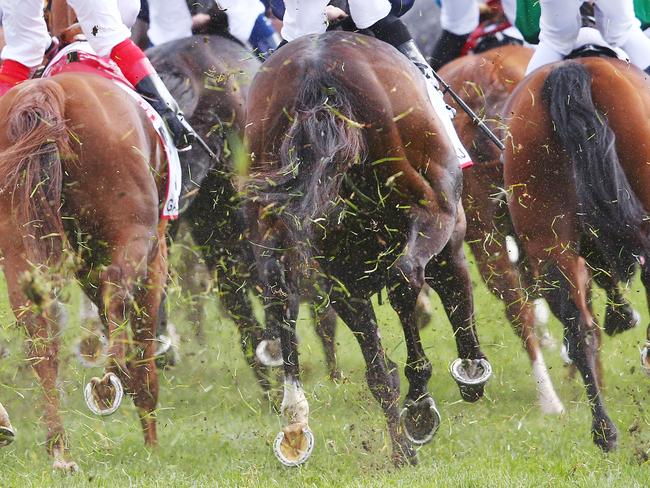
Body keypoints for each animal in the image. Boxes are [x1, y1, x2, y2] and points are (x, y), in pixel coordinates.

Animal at [0, 66, 170, 468]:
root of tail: (52, 91)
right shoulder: (153, 260)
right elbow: (142, 338)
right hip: (133, 236)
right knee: (118, 293)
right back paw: (111, 378)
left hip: (18, 242)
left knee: (39, 332)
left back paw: (58, 446)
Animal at [246, 32, 488, 468]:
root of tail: (318, 70)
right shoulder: (447, 232)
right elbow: (454, 291)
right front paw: (470, 371)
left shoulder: (343, 279)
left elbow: (377, 366)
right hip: (433, 213)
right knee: (406, 278)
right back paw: (419, 404)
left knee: (279, 294)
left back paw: (297, 424)